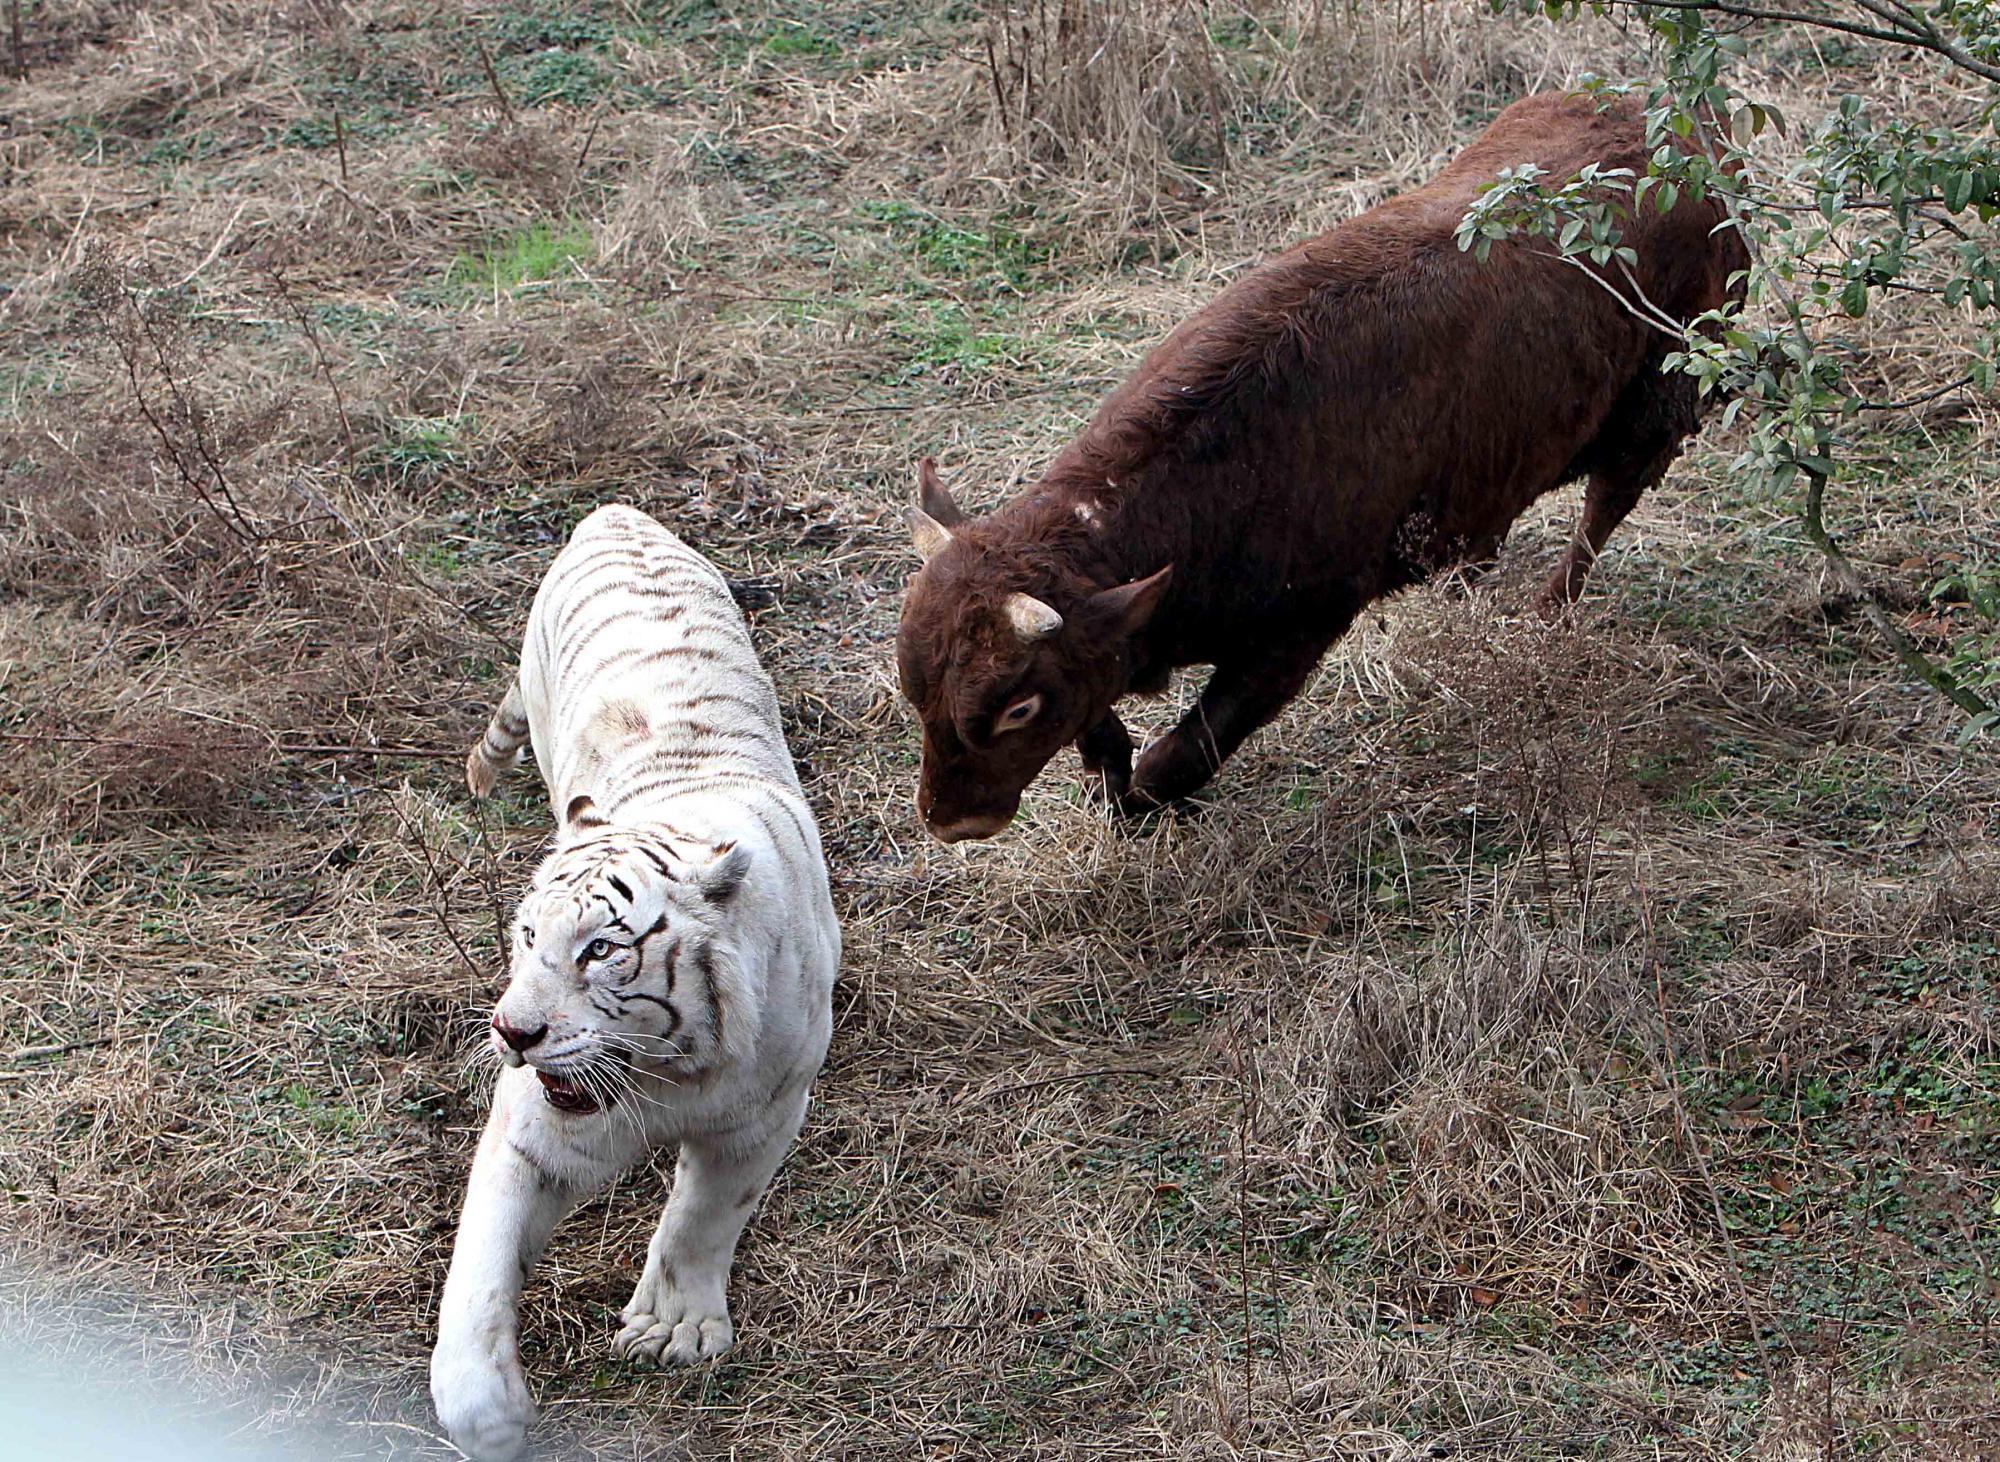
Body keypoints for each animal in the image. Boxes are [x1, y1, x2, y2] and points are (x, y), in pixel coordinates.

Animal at [434, 506, 840, 1462]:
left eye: (598, 951)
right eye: (527, 938)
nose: (512, 1034)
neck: (670, 1069)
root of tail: (614, 511)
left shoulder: (767, 1107)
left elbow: (705, 1214)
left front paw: (674, 1330)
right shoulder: (534, 1128)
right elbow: (480, 1258)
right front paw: (484, 1408)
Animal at [900, 94, 1744, 848]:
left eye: (1017, 708)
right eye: (918, 694)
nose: (951, 820)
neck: (1222, 469)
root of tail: (1689, 125)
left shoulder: (1297, 632)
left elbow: (1181, 754)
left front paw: (1148, 804)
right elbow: (1103, 720)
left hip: (1661, 400)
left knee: (1605, 505)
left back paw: (1547, 613)